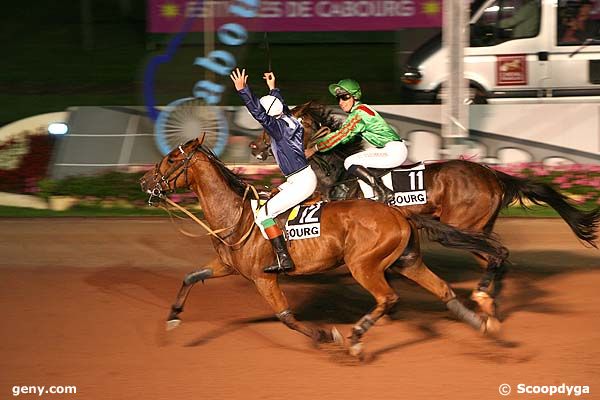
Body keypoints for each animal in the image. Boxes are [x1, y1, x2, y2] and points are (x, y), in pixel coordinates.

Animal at [139, 138, 506, 360]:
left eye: (171, 158)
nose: (144, 181)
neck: (239, 216)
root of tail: (396, 211)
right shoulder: (227, 265)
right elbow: (191, 277)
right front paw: (173, 317)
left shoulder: (263, 278)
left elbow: (286, 317)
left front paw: (328, 335)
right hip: (407, 260)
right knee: (444, 290)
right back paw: (483, 323)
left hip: (364, 265)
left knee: (388, 297)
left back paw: (356, 337)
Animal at [251, 101, 600, 318]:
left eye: (273, 125)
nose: (255, 147)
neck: (336, 172)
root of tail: (492, 175)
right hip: (479, 228)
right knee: (495, 257)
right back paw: (490, 298)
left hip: (462, 227)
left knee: (495, 254)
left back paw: (484, 295)